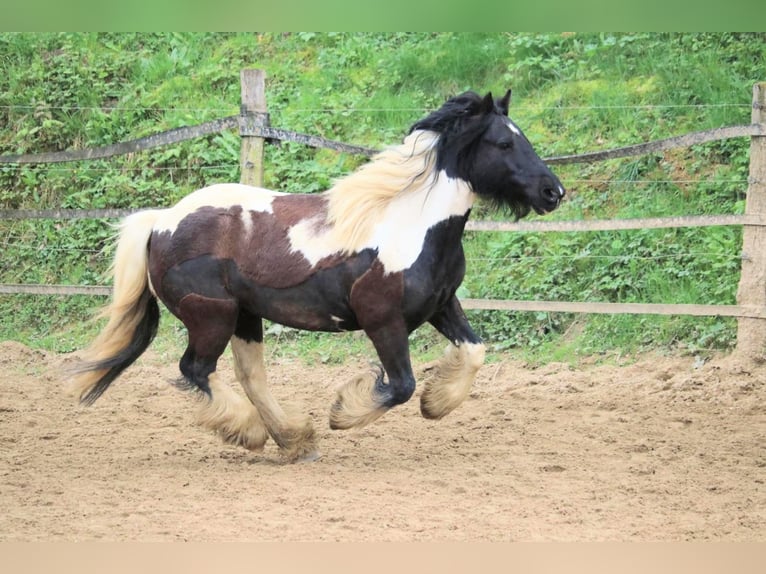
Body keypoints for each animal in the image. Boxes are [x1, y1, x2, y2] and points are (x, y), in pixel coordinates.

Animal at [70, 93, 564, 464]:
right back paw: (254, 433)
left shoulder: (442, 305)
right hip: (212, 316)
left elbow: (474, 352)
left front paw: (437, 403)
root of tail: (159, 221)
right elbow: (401, 385)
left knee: (248, 376)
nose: (553, 192)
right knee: (196, 370)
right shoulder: (383, 321)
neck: (413, 226)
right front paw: (343, 413)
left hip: (245, 316)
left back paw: (294, 440)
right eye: (503, 143)